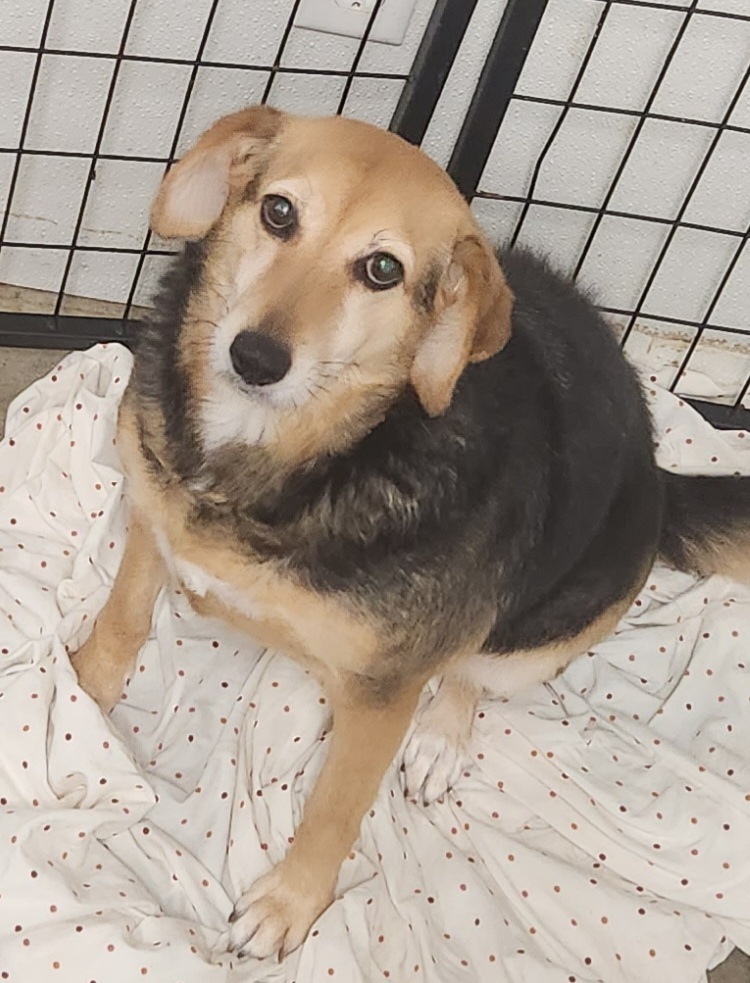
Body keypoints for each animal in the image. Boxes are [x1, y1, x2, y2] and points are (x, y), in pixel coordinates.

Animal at [70, 107, 750, 960]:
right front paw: (76, 691)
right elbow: (123, 618)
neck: (287, 458)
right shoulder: (155, 513)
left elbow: (335, 806)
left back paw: (439, 741)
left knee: (471, 671)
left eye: (382, 269)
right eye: (279, 212)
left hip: (540, 633)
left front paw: (290, 904)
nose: (254, 357)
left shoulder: (383, 692)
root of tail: (658, 473)